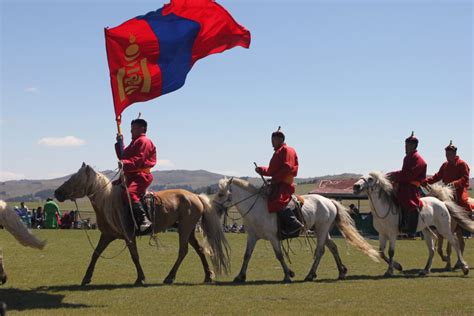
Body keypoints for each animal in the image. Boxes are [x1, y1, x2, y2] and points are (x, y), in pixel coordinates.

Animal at [54, 164, 231, 286]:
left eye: (75, 179)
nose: (57, 192)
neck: (109, 202)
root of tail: (195, 196)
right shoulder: (107, 235)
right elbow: (95, 254)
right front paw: (86, 277)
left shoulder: (129, 236)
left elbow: (135, 256)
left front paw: (141, 278)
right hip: (189, 230)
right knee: (200, 249)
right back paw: (208, 276)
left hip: (185, 229)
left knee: (183, 251)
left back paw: (170, 277)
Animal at [213, 177, 380, 282]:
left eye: (221, 194)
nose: (213, 209)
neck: (257, 208)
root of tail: (329, 201)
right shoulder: (252, 236)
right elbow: (247, 255)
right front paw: (240, 276)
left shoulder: (273, 237)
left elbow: (279, 255)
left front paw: (288, 275)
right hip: (322, 231)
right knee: (332, 247)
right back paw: (341, 272)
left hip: (321, 230)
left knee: (320, 251)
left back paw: (310, 275)